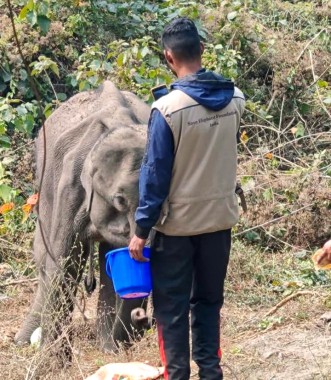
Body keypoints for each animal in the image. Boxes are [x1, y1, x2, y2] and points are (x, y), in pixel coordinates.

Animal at [14, 81, 152, 356]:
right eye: (119, 200)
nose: (144, 320)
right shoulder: (70, 188)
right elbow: (66, 262)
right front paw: (52, 357)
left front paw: (109, 352)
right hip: (45, 183)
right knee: (43, 255)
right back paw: (25, 341)